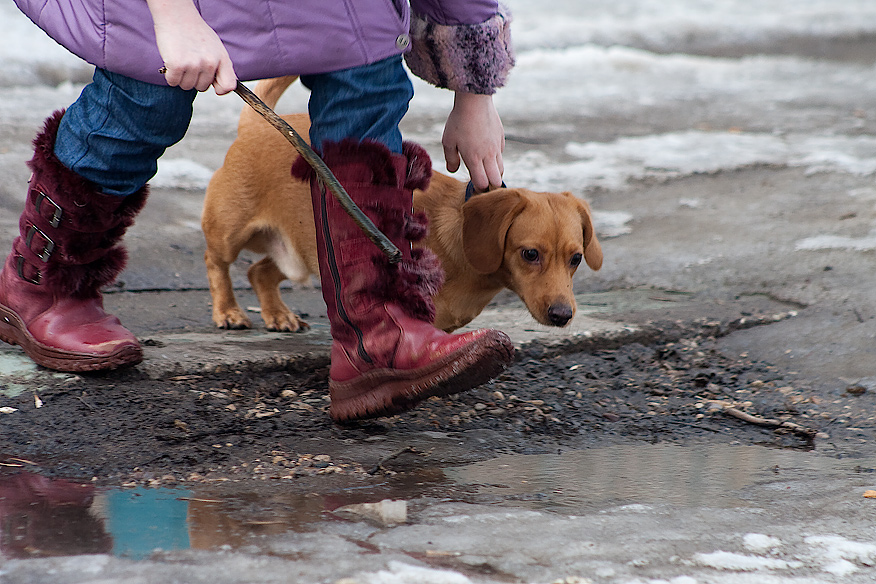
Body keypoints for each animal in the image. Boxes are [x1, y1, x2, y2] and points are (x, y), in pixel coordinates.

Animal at [204, 76, 604, 336]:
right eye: (530, 254)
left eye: (576, 258)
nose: (562, 315)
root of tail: (256, 125)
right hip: (230, 231)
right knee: (217, 261)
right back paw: (228, 311)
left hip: (303, 252)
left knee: (259, 272)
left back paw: (277, 314)